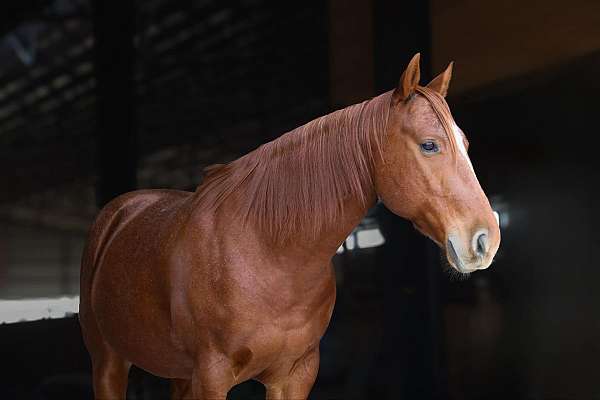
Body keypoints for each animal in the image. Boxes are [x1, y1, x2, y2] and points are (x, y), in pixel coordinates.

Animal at [81, 54, 502, 400]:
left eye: (466, 144)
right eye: (430, 145)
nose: (485, 240)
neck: (269, 255)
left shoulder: (296, 375)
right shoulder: (211, 376)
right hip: (109, 363)